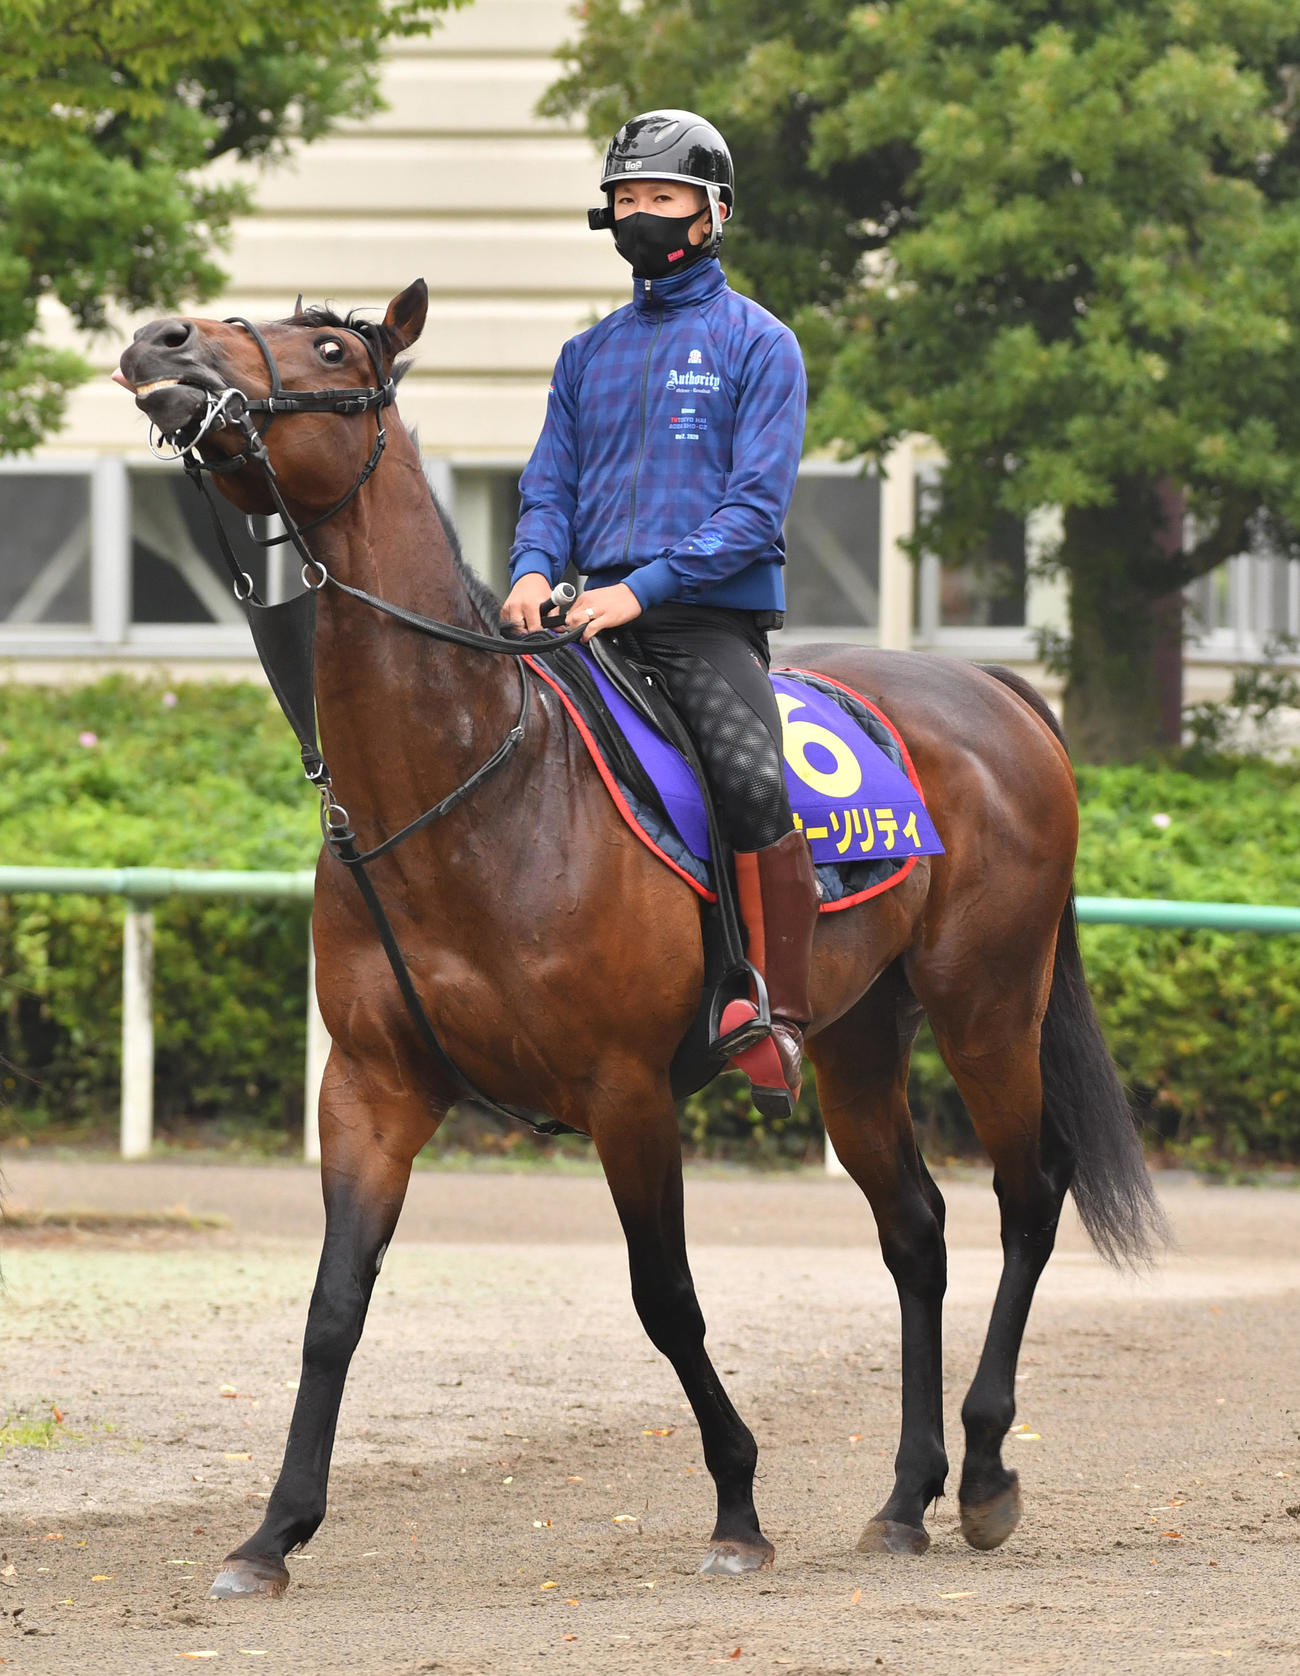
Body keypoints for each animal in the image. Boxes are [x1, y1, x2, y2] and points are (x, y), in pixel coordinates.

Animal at [115, 279, 1166, 1599]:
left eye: (333, 347)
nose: (162, 341)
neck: (469, 784)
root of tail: (996, 693)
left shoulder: (624, 1090)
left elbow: (665, 1297)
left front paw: (738, 1505)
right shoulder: (368, 1086)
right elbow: (332, 1305)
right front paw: (271, 1532)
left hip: (986, 1003)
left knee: (1027, 1198)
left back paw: (980, 1474)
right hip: (856, 1037)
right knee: (916, 1230)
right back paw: (903, 1496)